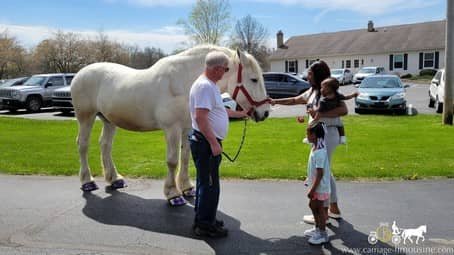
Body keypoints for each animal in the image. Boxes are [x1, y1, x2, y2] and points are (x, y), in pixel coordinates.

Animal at [71, 45, 270, 205]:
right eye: (253, 79)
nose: (265, 112)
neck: (184, 82)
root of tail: (79, 74)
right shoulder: (172, 129)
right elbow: (173, 161)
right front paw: (173, 194)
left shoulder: (188, 128)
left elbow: (185, 157)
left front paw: (187, 187)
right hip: (86, 117)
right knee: (83, 145)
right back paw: (87, 181)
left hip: (109, 120)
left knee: (105, 145)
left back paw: (114, 179)